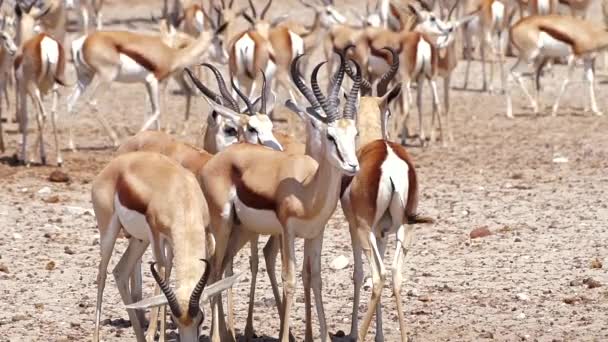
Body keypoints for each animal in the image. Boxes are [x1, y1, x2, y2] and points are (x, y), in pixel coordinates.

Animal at [66, 21, 227, 150]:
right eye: (219, 41)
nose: (225, 58)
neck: (172, 55)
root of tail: (82, 42)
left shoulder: (147, 83)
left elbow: (155, 113)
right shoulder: (153, 80)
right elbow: (156, 111)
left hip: (85, 78)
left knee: (70, 103)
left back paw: (72, 146)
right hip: (107, 77)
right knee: (92, 102)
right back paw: (116, 140)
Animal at [91, 151, 241, 342]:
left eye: (201, 318)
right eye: (175, 321)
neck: (182, 197)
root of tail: (114, 164)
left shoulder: (202, 233)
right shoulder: (157, 236)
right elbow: (163, 271)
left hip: (140, 240)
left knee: (120, 271)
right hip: (109, 232)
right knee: (102, 275)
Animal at [200, 53, 358, 342]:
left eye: (354, 134)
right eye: (330, 135)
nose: (352, 165)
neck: (307, 192)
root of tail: (217, 159)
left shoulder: (315, 233)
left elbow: (315, 279)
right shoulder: (287, 232)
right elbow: (290, 281)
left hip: (240, 230)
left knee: (224, 266)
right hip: (223, 224)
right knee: (215, 269)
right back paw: (218, 335)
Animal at [340, 48, 434, 342]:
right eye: (389, 111)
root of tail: (390, 162)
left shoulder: (355, 227)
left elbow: (358, 274)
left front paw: (353, 331)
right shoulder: (382, 232)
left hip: (364, 230)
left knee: (378, 275)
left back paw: (358, 335)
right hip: (405, 229)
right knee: (395, 274)